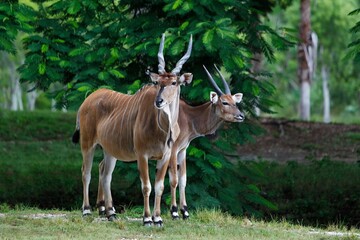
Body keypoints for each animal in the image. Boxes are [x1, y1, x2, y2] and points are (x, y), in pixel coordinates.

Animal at [71, 33, 193, 225]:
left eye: (174, 82)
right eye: (157, 82)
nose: (159, 101)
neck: (162, 128)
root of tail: (87, 100)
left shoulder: (165, 156)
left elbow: (159, 186)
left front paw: (158, 218)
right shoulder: (142, 155)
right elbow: (146, 186)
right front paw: (147, 219)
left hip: (110, 151)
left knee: (106, 175)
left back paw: (111, 213)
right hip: (87, 144)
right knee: (86, 172)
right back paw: (87, 210)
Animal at [169, 65, 245, 219]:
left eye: (235, 102)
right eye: (224, 102)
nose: (241, 116)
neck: (188, 117)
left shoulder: (182, 150)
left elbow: (183, 180)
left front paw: (185, 211)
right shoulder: (173, 150)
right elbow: (174, 180)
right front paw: (174, 211)